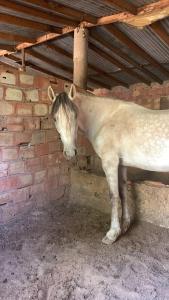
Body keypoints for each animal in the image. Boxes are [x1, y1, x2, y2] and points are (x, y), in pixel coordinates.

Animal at [47, 83, 169, 245]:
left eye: (75, 116)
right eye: (55, 119)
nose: (70, 152)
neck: (105, 119)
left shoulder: (110, 162)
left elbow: (113, 195)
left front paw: (112, 234)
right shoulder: (122, 164)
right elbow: (123, 193)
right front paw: (125, 225)